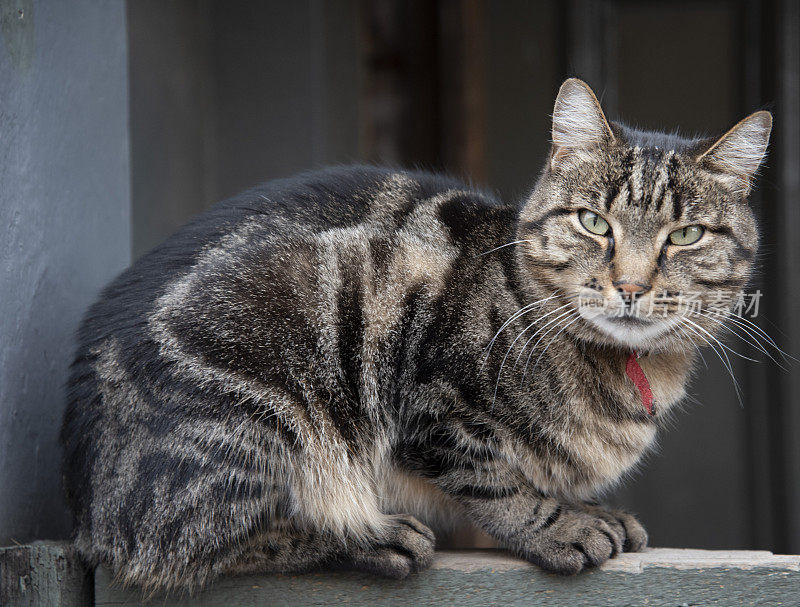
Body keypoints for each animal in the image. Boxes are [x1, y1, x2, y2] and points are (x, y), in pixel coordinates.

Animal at [62, 79, 776, 592]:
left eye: (686, 235)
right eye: (593, 222)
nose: (629, 285)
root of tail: (88, 505)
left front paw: (594, 510)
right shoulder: (433, 400)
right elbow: (493, 478)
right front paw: (560, 524)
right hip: (269, 395)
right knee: (176, 542)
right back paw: (371, 535)